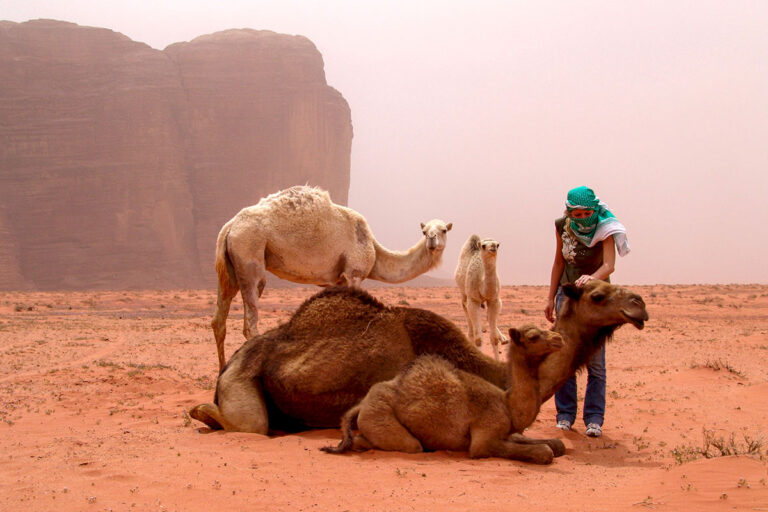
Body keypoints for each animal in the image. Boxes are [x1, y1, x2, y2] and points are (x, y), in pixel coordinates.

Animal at [189, 280, 644, 436]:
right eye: (598, 294)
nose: (639, 305)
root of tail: (228, 364)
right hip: (242, 380)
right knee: (250, 424)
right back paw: (199, 412)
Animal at [210, 186, 450, 370]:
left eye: (444, 230)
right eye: (425, 231)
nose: (431, 240)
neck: (373, 248)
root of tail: (230, 226)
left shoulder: (337, 281)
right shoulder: (354, 273)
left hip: (230, 267)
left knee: (219, 319)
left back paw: (222, 373)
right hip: (250, 253)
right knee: (250, 319)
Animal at [320, 326, 568, 466]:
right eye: (533, 337)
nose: (559, 339)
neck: (507, 404)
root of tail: (361, 405)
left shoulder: (506, 431)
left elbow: (556, 445)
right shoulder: (483, 440)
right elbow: (544, 452)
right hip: (381, 417)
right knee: (401, 444)